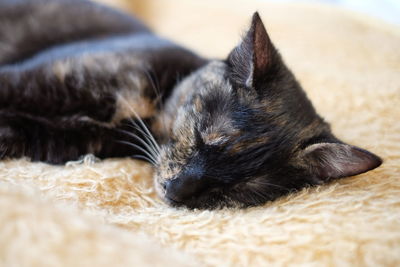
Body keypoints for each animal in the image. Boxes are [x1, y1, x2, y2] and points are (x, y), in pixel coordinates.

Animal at [0, 0, 382, 209]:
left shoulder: (64, 142)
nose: (175, 190)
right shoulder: (35, 81)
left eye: (238, 187)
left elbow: (16, 134)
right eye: (201, 136)